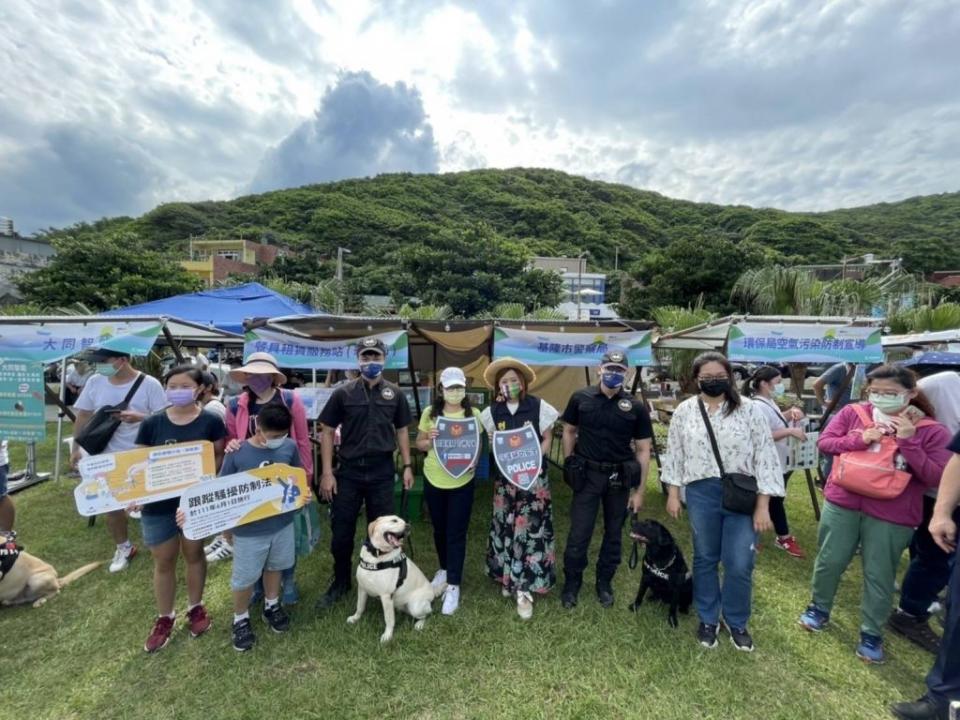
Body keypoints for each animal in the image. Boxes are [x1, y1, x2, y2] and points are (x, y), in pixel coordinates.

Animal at [348, 516, 446, 644]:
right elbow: (360, 606)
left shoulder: (386, 596)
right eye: (394, 520)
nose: (408, 526)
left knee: (428, 613)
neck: (377, 555)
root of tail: (432, 591)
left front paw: (387, 636)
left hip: (415, 606)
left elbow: (389, 620)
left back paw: (419, 624)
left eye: (405, 522)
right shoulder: (362, 588)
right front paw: (355, 618)